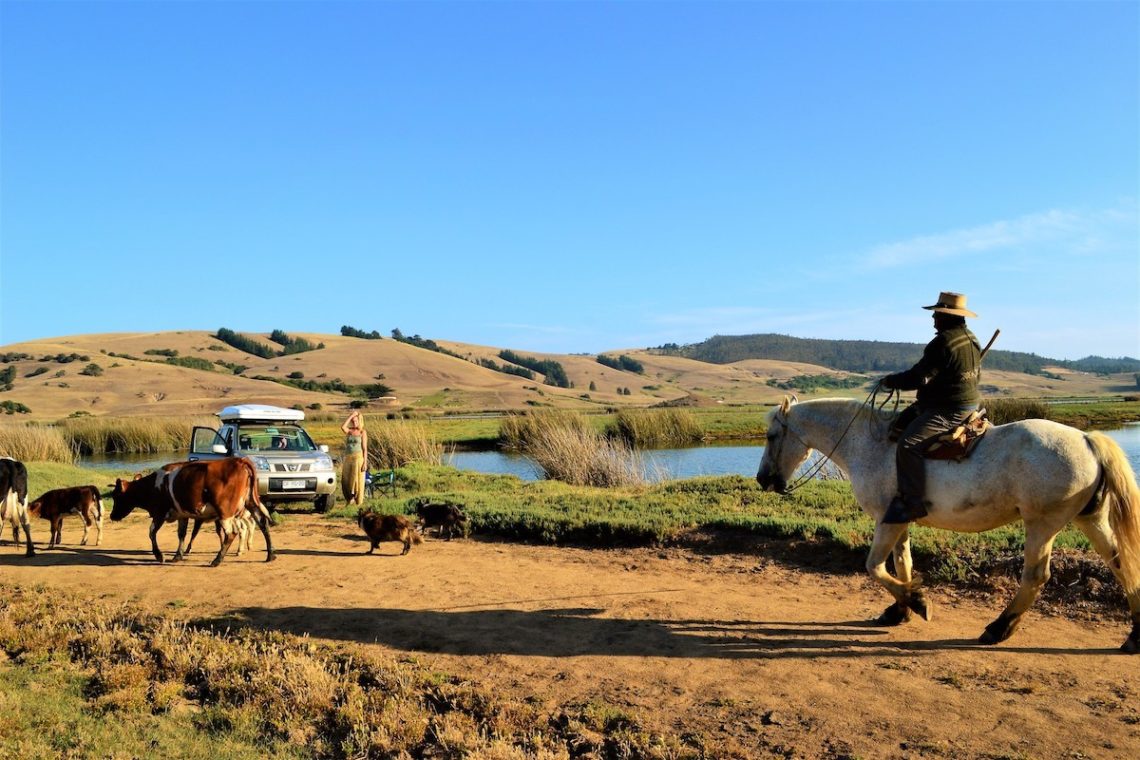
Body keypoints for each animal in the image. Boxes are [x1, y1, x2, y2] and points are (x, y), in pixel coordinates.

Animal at [108, 458, 275, 565]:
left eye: (116, 496)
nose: (111, 516)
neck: (153, 485)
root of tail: (239, 461)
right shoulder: (182, 515)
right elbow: (181, 534)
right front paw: (178, 555)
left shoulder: (159, 513)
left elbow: (151, 532)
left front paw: (159, 555)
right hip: (250, 503)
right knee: (262, 523)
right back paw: (270, 555)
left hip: (225, 513)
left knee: (232, 533)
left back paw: (217, 560)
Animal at [756, 396, 1140, 651]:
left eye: (771, 436)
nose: (762, 480)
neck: (869, 444)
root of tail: (1087, 440)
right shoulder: (898, 521)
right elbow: (902, 564)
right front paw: (901, 609)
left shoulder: (886, 521)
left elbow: (875, 567)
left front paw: (917, 602)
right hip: (1090, 519)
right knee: (1121, 564)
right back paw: (1134, 636)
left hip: (1041, 525)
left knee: (1035, 577)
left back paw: (998, 629)